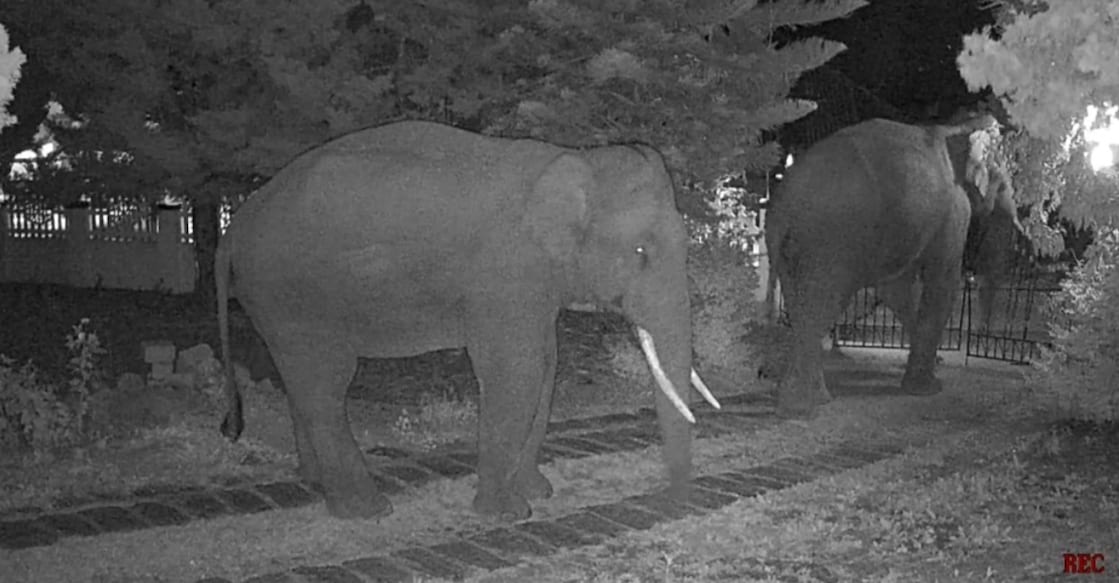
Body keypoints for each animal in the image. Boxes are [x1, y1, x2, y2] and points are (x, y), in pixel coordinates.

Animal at [215, 120, 718, 520]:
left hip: (274, 301)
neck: (574, 159)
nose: (670, 499)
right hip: (291, 294)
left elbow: (547, 367)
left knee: (298, 381)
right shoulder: (505, 273)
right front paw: (507, 513)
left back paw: (316, 484)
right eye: (640, 252)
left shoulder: (534, 284)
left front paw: (538, 492)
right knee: (326, 384)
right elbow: (516, 372)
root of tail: (234, 226)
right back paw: (366, 510)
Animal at [764, 114, 1021, 416]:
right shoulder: (954, 210)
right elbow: (942, 282)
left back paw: (810, 399)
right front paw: (929, 389)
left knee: (802, 306)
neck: (958, 126)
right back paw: (803, 405)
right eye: (1003, 178)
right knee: (823, 304)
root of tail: (783, 204)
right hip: (829, 241)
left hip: (791, 249)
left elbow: (896, 291)